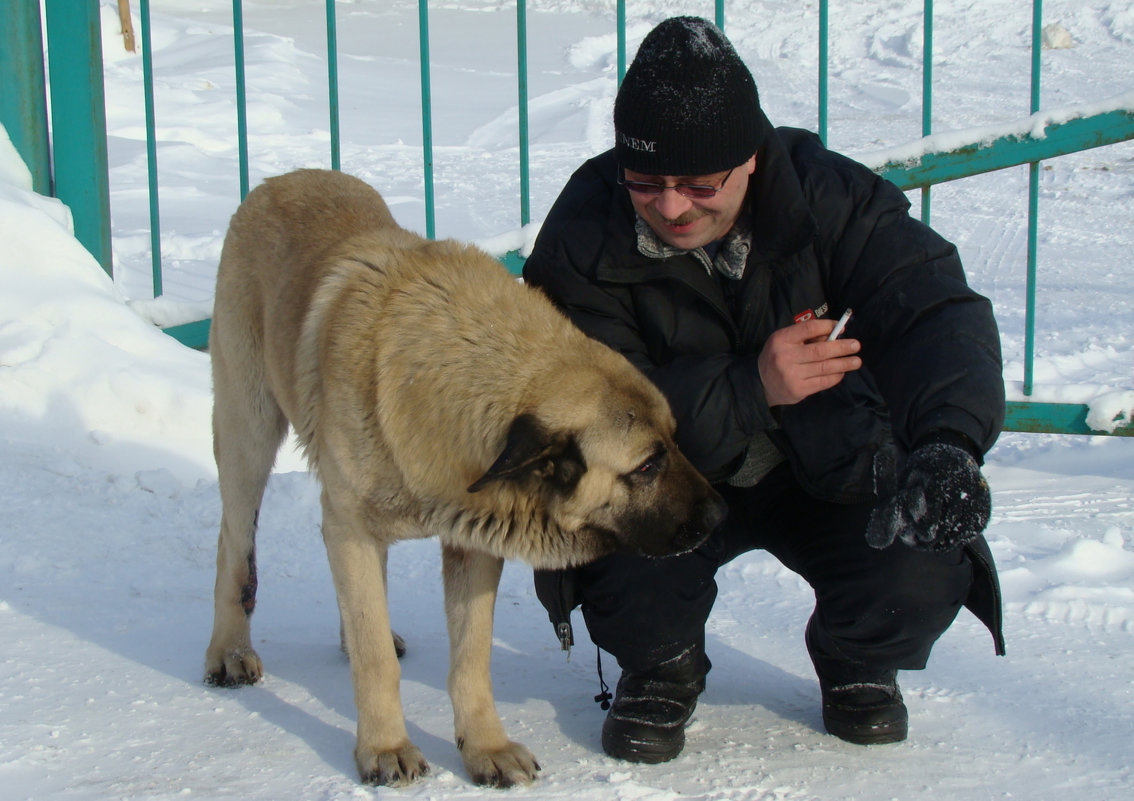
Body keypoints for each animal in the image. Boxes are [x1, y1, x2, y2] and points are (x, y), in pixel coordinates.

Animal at [201, 167, 725, 785]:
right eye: (646, 465)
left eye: (675, 440)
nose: (720, 514)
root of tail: (279, 179)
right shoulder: (353, 526)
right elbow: (376, 660)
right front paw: (384, 746)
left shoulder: (473, 545)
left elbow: (470, 659)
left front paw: (485, 747)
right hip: (248, 432)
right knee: (235, 545)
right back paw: (229, 652)